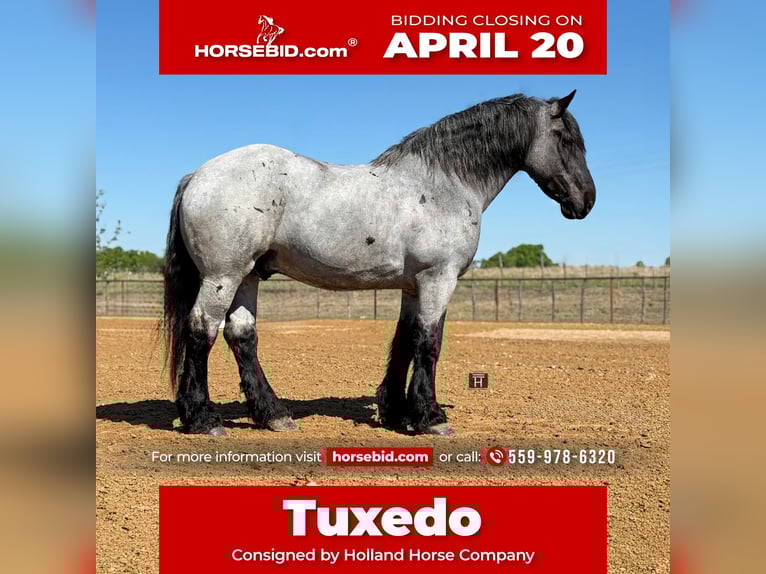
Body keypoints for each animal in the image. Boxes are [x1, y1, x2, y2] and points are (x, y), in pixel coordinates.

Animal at [162, 91, 596, 437]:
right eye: (564, 138)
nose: (586, 200)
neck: (443, 183)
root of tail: (197, 175)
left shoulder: (412, 286)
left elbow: (405, 339)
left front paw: (397, 413)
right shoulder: (439, 279)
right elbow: (429, 342)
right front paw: (430, 418)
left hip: (247, 276)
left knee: (242, 337)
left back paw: (274, 415)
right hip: (222, 276)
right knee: (202, 330)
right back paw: (203, 419)